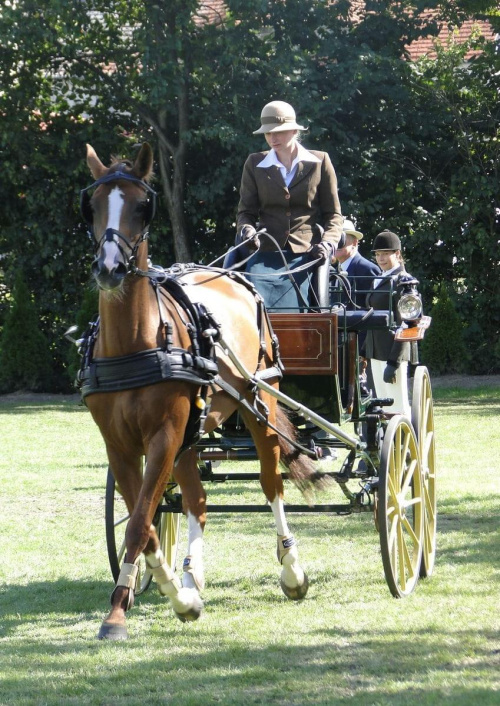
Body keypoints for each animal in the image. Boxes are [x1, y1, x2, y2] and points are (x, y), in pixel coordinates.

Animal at [80, 143, 322, 640]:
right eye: (91, 205)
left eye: (142, 205)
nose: (110, 268)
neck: (135, 341)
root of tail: (237, 279)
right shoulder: (120, 444)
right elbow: (147, 522)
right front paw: (159, 596)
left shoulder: (163, 436)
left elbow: (138, 524)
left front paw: (137, 608)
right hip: (191, 431)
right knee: (197, 500)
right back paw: (192, 576)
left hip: (259, 400)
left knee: (270, 482)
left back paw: (291, 570)